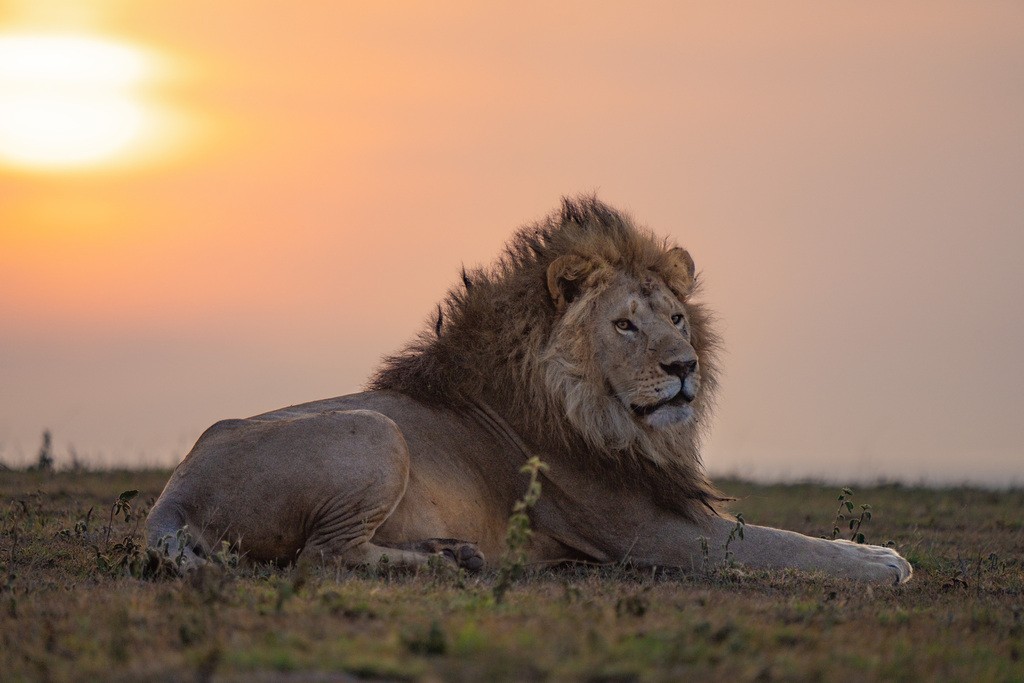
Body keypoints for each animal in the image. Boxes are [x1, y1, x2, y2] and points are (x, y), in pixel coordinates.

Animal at [146, 194, 913, 585]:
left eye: (676, 318)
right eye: (624, 324)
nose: (684, 366)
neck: (601, 414)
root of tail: (172, 496)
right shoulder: (657, 533)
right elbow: (786, 545)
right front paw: (884, 558)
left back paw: (452, 552)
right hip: (376, 432)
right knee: (322, 555)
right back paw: (446, 563)